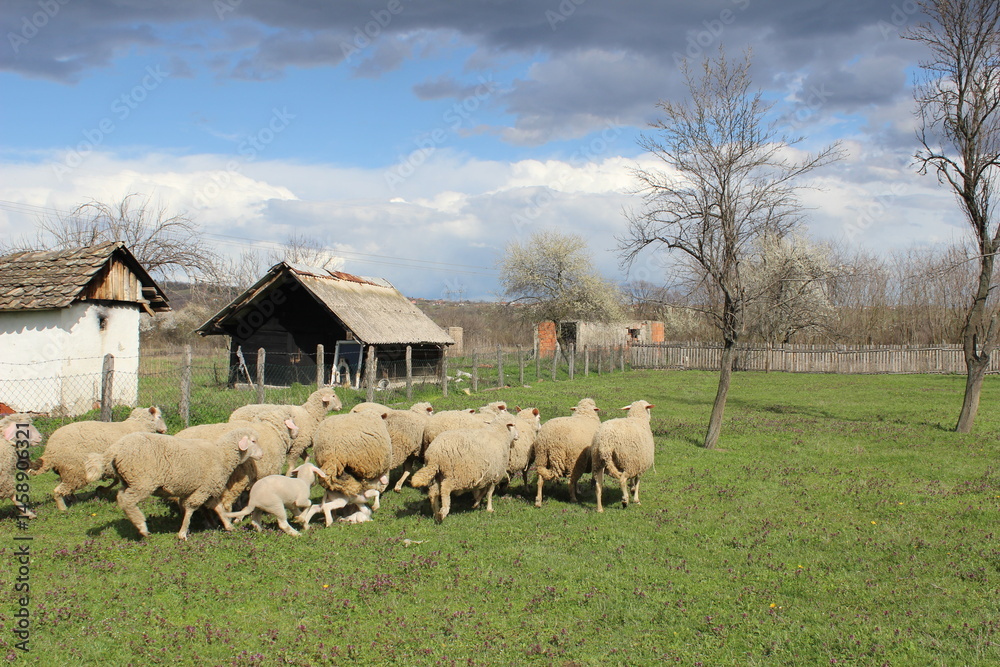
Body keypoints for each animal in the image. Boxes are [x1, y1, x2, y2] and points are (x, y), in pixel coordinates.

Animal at [30, 406, 167, 511]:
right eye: (160, 417)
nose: (165, 430)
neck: (138, 425)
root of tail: (50, 451)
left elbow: (116, 480)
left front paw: (102, 490)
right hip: (75, 470)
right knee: (59, 490)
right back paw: (63, 508)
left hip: (68, 471)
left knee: (66, 487)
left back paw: (73, 499)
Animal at [85, 428, 263, 540]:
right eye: (253, 441)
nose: (261, 455)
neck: (222, 454)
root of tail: (114, 450)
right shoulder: (203, 489)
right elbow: (190, 509)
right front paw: (183, 533)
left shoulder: (208, 489)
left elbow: (217, 507)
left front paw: (228, 525)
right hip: (142, 481)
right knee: (127, 501)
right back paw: (142, 527)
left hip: (129, 480)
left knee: (121, 498)